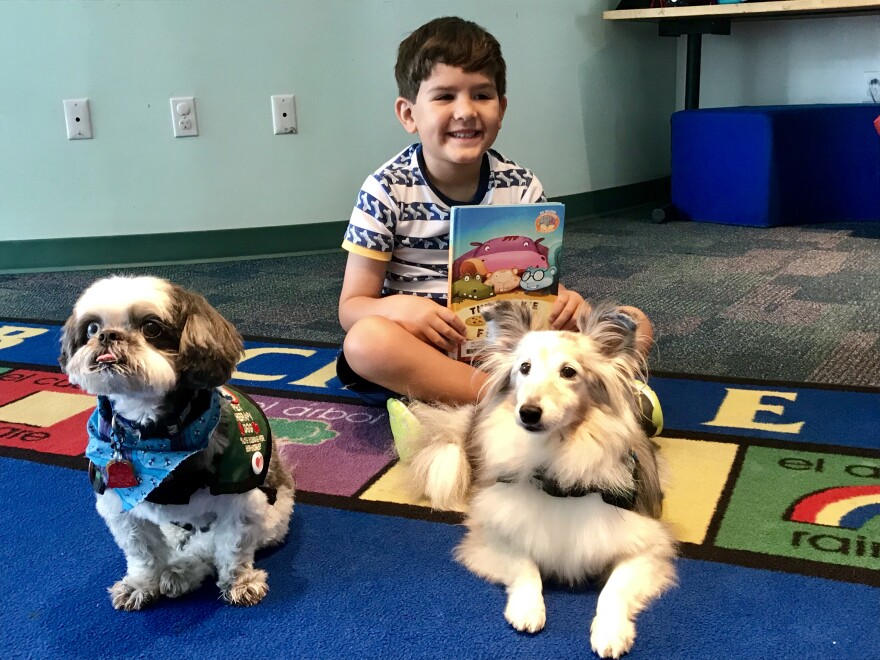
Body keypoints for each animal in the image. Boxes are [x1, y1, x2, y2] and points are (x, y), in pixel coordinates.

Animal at [62, 274, 298, 608]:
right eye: (92, 328)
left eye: (151, 327)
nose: (107, 336)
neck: (154, 439)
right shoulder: (119, 506)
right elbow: (142, 553)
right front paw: (140, 585)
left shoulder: (241, 503)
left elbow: (232, 549)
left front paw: (239, 582)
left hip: (274, 517)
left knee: (206, 545)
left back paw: (182, 571)